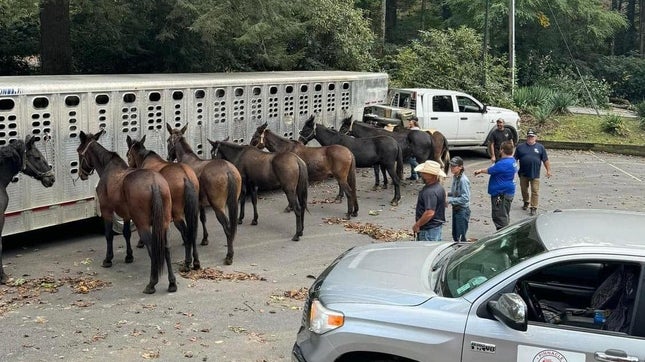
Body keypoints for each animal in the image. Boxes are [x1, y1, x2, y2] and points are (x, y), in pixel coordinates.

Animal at [76, 130, 175, 294]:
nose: (81, 174)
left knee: (152, 247)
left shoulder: (107, 210)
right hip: (164, 223)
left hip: (143, 224)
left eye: (78, 152)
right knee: (166, 247)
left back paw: (152, 283)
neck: (107, 167)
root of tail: (154, 184)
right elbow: (127, 233)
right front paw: (129, 256)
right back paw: (172, 282)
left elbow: (109, 235)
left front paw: (108, 259)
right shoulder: (127, 215)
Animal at [123, 135, 199, 272]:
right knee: (193, 232)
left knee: (187, 235)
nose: (129, 166)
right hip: (192, 210)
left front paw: (141, 242)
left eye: (128, 155)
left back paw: (187, 262)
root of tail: (186, 177)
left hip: (177, 214)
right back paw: (196, 261)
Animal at [166, 123, 242, 264]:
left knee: (227, 227)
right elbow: (202, 218)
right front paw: (205, 238)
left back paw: (229, 255)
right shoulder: (200, 201)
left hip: (217, 205)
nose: (168, 157)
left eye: (168, 141)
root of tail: (228, 170)